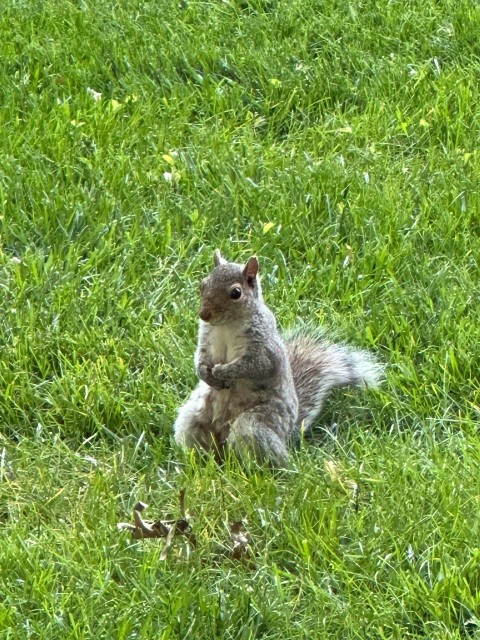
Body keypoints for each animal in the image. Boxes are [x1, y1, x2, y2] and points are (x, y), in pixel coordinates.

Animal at [173, 249, 382, 464]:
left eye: (236, 293)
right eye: (203, 284)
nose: (204, 314)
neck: (226, 325)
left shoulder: (264, 347)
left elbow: (256, 366)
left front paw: (224, 371)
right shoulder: (206, 338)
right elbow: (200, 358)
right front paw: (205, 374)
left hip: (255, 424)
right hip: (191, 419)